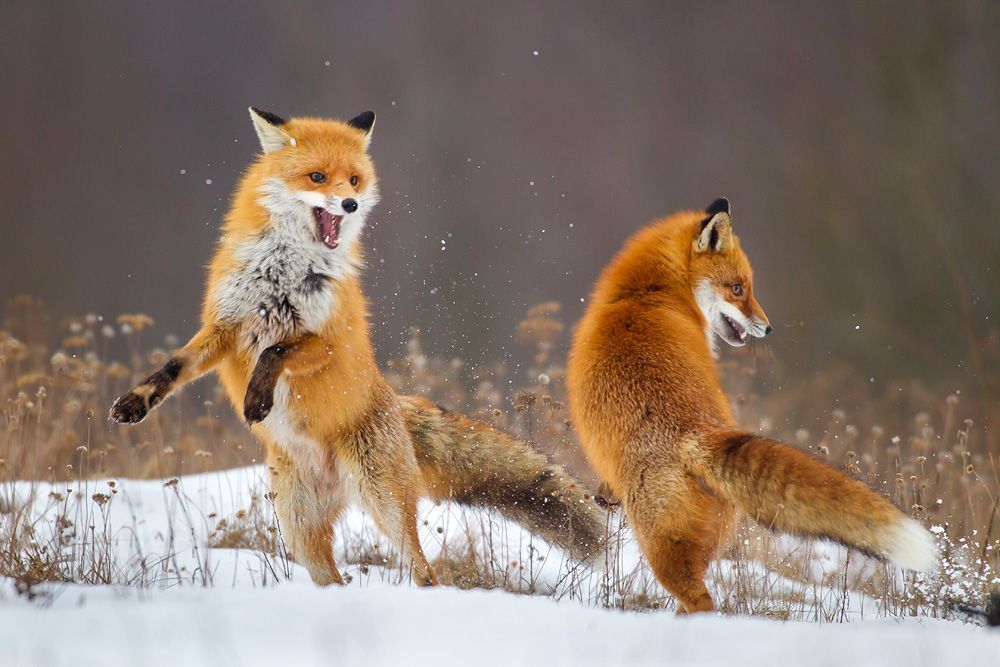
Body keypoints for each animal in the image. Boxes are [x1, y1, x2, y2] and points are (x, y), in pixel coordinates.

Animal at [110, 108, 605, 587]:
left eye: (353, 180)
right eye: (317, 177)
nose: (350, 204)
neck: (282, 274)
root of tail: (395, 402)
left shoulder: (329, 341)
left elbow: (276, 351)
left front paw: (257, 399)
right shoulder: (227, 327)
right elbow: (175, 367)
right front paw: (135, 403)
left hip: (381, 498)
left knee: (425, 572)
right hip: (298, 526)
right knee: (332, 578)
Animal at [566, 198, 937, 614]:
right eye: (737, 288)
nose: (769, 327)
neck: (646, 293)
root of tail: (696, 434)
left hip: (661, 548)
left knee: (700, 602)